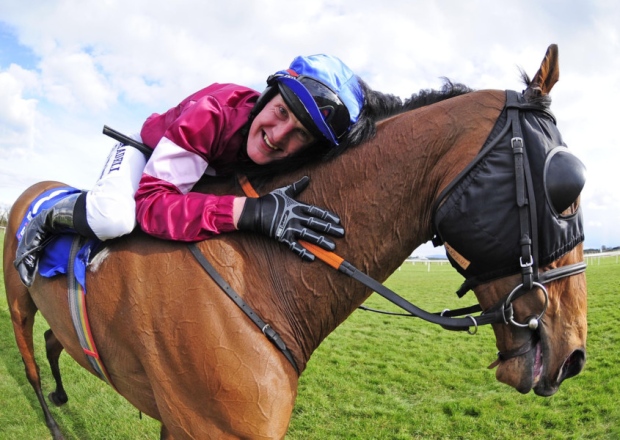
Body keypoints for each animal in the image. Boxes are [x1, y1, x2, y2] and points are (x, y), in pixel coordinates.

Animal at [3, 45, 588, 440]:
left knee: (56, 341)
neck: (256, 274)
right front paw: (275, 214)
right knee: (32, 357)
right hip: (18, 303)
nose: (575, 355)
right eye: (568, 186)